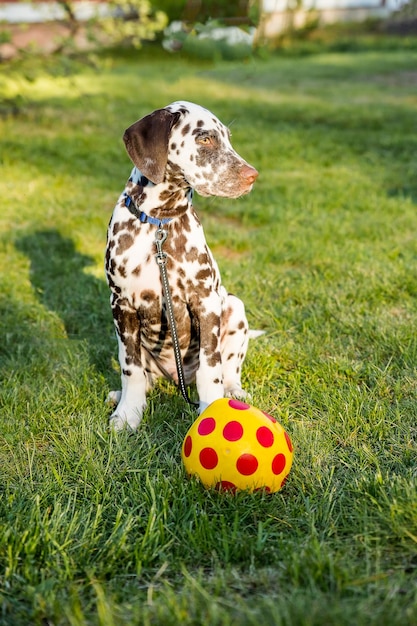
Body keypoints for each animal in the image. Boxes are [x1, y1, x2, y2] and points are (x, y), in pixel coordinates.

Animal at [105, 100, 256, 428]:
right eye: (205, 139)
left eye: (228, 138)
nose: (252, 175)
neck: (159, 225)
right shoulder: (122, 305)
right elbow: (130, 369)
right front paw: (128, 414)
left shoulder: (206, 302)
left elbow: (210, 368)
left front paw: (212, 410)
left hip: (234, 308)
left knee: (229, 370)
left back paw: (234, 392)